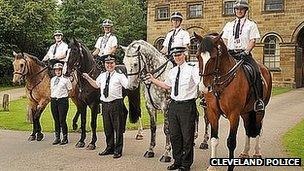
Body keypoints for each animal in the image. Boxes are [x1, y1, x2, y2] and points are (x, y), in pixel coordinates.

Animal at [194, 32, 272, 170]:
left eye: (213, 57)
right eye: (198, 56)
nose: (203, 88)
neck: (221, 84)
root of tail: (265, 69)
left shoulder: (234, 115)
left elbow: (231, 141)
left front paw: (230, 167)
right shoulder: (213, 113)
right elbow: (214, 139)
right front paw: (212, 166)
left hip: (259, 111)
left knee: (257, 128)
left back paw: (257, 153)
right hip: (246, 112)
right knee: (248, 128)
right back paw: (245, 153)